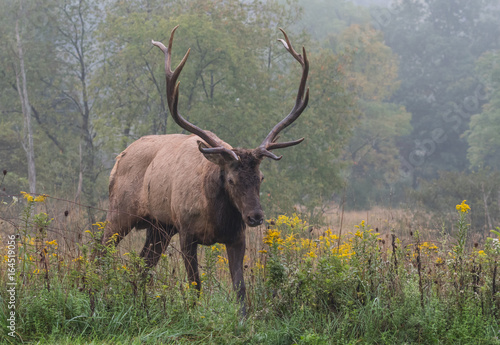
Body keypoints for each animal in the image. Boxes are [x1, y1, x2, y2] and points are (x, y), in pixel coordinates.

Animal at [103, 25, 308, 314]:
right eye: (231, 179)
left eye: (261, 177)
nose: (255, 216)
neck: (215, 216)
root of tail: (119, 157)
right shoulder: (187, 233)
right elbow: (195, 286)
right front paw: (194, 314)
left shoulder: (237, 237)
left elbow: (240, 291)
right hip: (120, 212)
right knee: (99, 249)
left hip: (159, 227)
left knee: (143, 265)